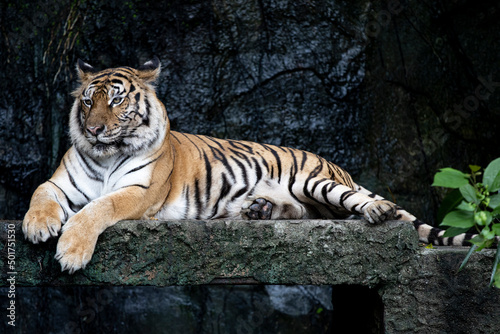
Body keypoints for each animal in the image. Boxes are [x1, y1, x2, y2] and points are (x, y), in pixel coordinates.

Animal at [22, 57, 472, 274]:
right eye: (87, 101)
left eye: (116, 100)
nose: (94, 129)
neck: (106, 155)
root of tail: (333, 164)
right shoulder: (60, 182)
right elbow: (40, 193)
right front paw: (37, 226)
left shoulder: (140, 192)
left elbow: (100, 207)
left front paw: (71, 253)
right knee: (304, 212)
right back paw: (258, 209)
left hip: (315, 181)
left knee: (355, 202)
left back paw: (377, 209)